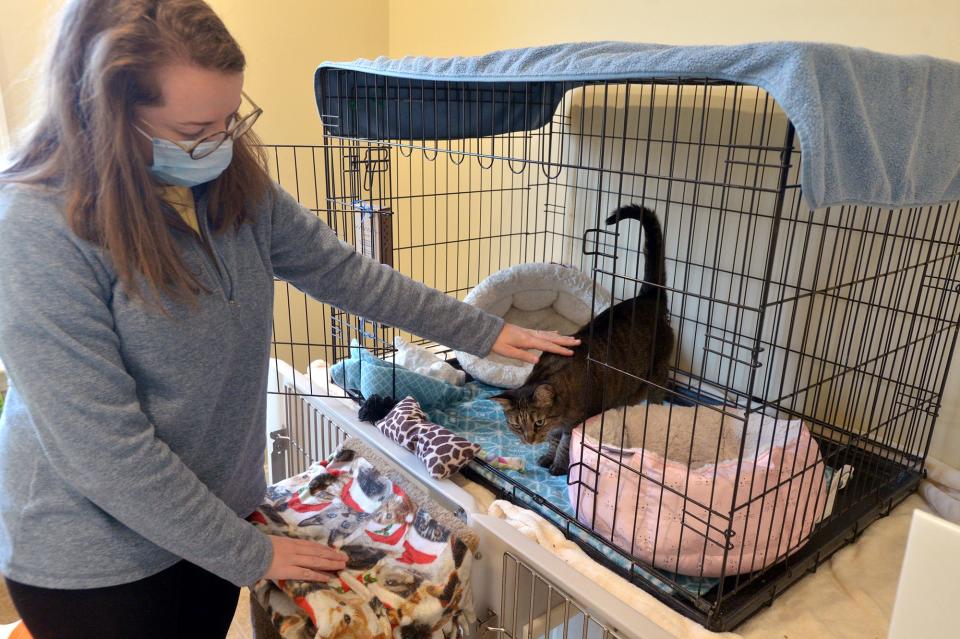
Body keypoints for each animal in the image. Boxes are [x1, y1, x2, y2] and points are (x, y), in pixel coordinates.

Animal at [496, 205, 676, 476]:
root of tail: (648, 295)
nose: (528, 440)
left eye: (538, 422)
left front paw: (559, 465)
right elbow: (554, 440)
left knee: (655, 400)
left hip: (657, 373)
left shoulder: (576, 422)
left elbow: (565, 444)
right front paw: (548, 457)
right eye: (516, 425)